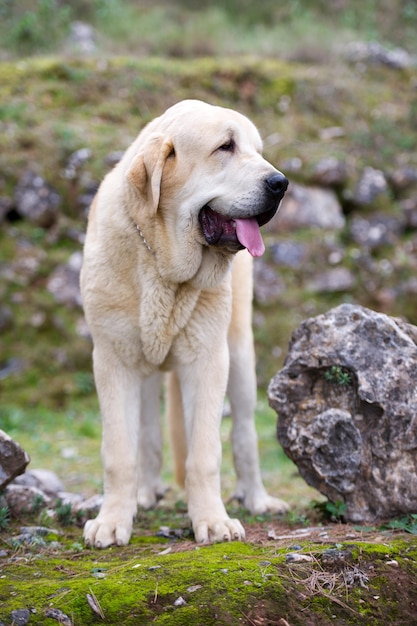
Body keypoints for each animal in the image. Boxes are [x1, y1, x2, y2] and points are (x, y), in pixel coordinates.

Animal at [81, 100, 290, 544]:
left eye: (258, 150)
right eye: (226, 147)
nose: (281, 182)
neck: (164, 270)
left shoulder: (208, 360)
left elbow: (205, 453)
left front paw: (211, 519)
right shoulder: (112, 361)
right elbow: (119, 453)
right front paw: (113, 520)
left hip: (239, 354)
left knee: (244, 432)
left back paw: (257, 498)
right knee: (147, 434)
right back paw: (144, 495)